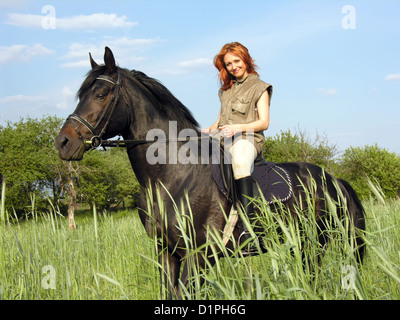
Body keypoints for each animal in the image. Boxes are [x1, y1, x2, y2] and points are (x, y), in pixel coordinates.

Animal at [55, 46, 366, 298]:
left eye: (101, 94)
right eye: (81, 95)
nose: (63, 143)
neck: (170, 176)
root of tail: (333, 179)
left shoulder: (199, 255)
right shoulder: (165, 251)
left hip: (315, 241)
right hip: (301, 243)